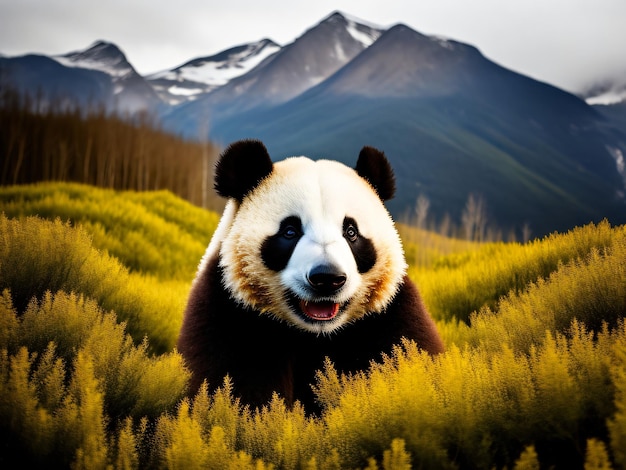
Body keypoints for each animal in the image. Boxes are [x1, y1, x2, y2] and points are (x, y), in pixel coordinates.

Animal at [177, 139, 444, 412]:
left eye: (351, 232)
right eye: (290, 231)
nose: (327, 278)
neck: (316, 335)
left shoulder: (389, 314)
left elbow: (404, 356)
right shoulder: (229, 311)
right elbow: (232, 385)